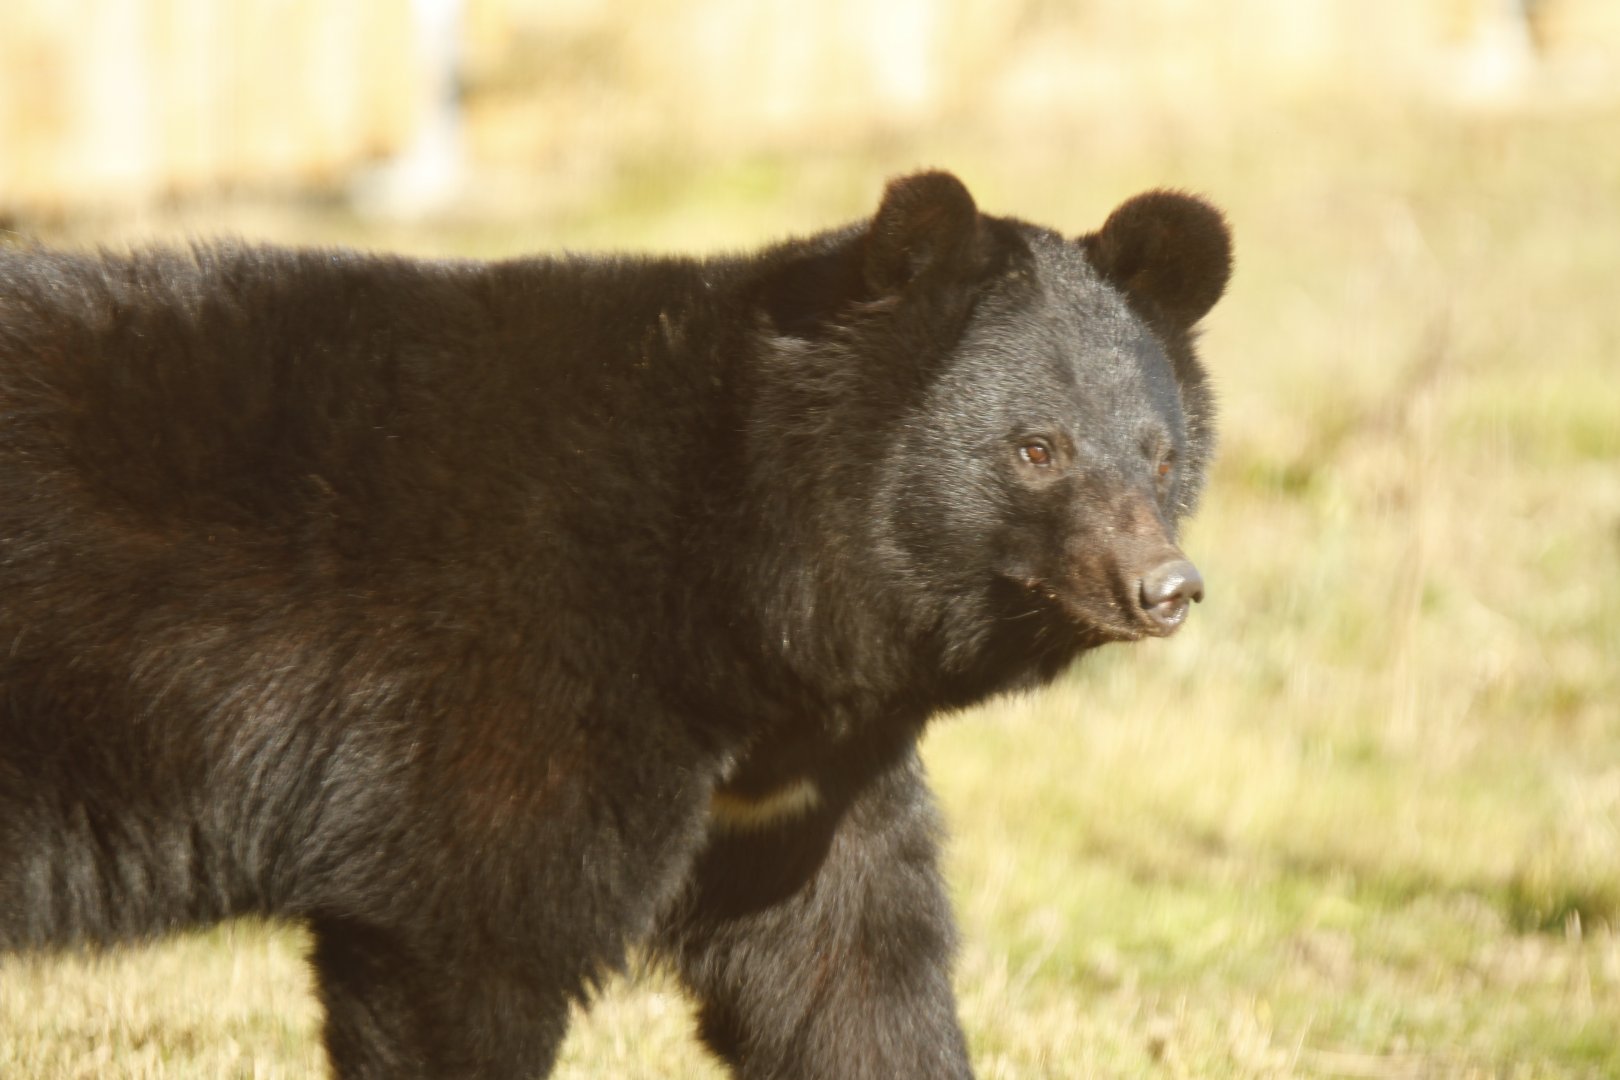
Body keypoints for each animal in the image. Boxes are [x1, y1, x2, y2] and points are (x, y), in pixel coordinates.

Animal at [0, 171, 1230, 1078]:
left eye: (1159, 455)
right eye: (1037, 449)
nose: (1165, 588)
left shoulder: (807, 781)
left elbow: (848, 970)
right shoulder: (509, 693)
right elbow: (475, 935)